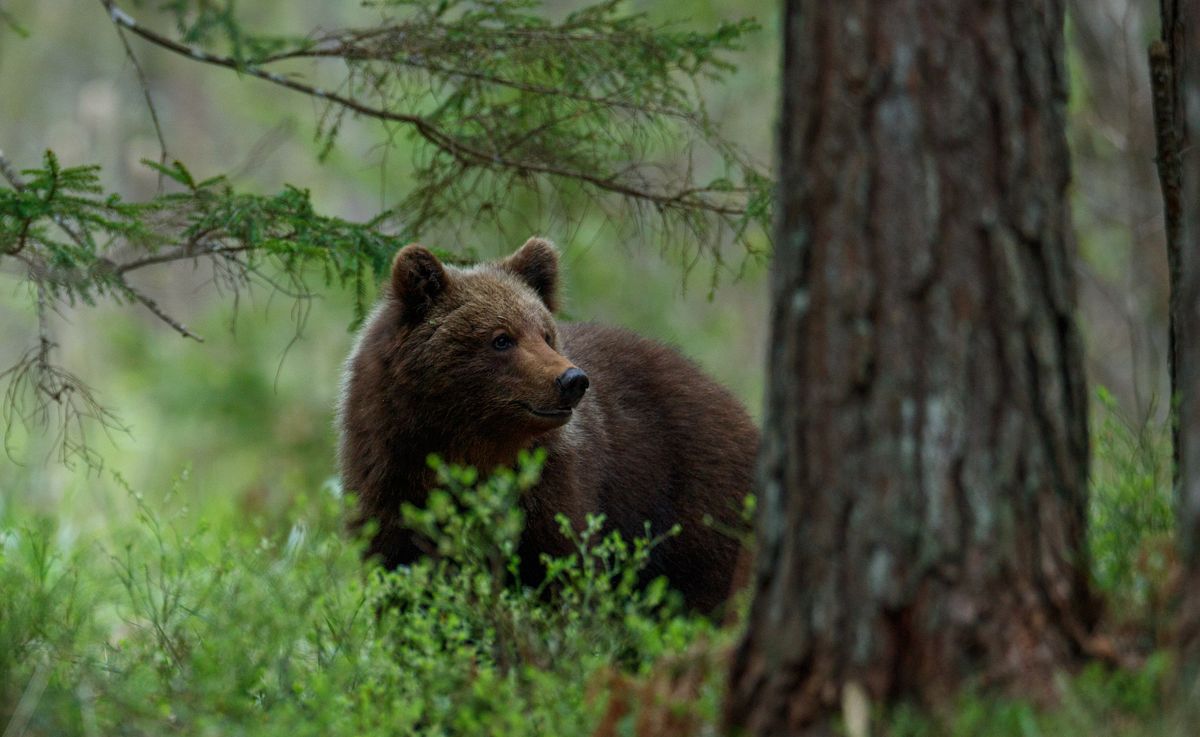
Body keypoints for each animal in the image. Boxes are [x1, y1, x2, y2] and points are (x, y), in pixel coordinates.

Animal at [333, 240, 753, 614]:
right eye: (501, 338)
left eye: (546, 333)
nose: (572, 380)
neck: (465, 445)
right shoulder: (388, 478)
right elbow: (400, 575)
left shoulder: (553, 485)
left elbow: (563, 571)